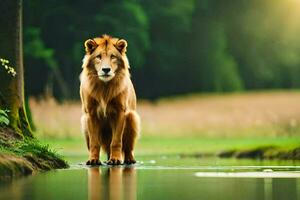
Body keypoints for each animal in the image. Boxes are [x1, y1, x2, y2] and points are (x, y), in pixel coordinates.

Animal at [79, 34, 141, 166]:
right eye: (98, 57)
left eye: (113, 57)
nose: (106, 69)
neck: (104, 87)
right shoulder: (91, 113)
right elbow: (94, 142)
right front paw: (93, 160)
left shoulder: (120, 112)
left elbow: (116, 141)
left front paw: (115, 160)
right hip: (84, 121)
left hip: (132, 117)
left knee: (128, 148)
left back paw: (129, 160)